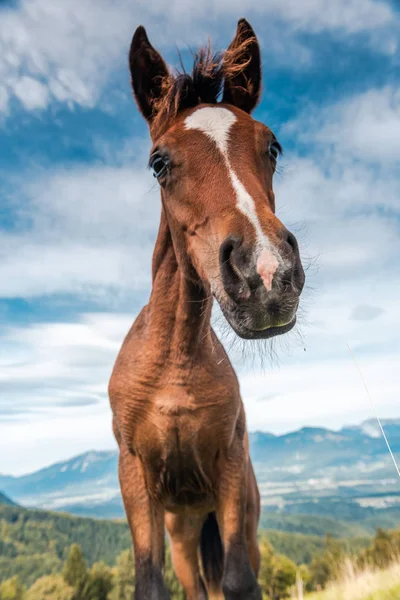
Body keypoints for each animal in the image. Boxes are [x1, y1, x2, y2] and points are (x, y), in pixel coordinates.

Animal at [108, 18, 304, 600]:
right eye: (158, 163)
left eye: (273, 146)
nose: (267, 274)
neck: (174, 362)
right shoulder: (135, 477)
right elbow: (149, 584)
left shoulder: (230, 465)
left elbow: (239, 581)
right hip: (183, 533)